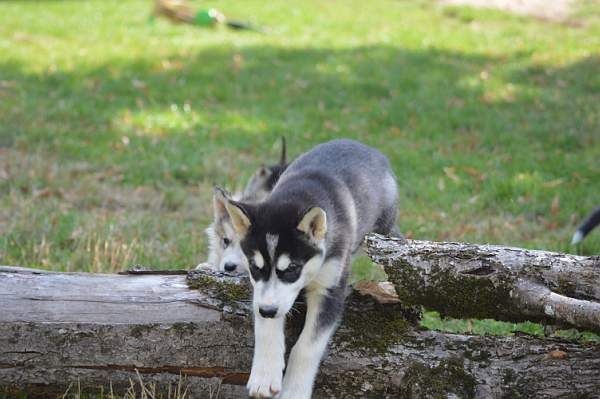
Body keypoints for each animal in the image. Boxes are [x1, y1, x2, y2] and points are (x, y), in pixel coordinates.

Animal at [220, 139, 398, 398]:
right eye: (255, 267)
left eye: (292, 268)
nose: (268, 310)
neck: (299, 192)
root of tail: (361, 145)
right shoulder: (261, 292)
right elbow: (266, 325)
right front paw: (265, 375)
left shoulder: (330, 289)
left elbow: (306, 347)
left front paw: (294, 391)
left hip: (384, 227)